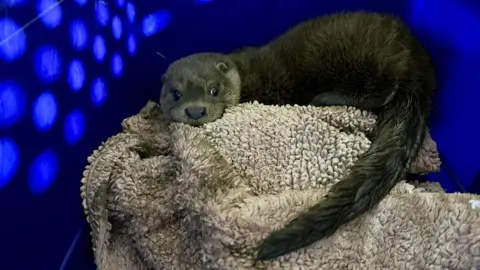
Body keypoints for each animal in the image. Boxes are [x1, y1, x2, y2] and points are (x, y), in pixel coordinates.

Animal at [160, 11, 436, 260]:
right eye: (176, 93)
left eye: (214, 89)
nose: (195, 110)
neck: (244, 72)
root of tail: (417, 57)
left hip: (369, 58)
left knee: (383, 91)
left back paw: (324, 98)